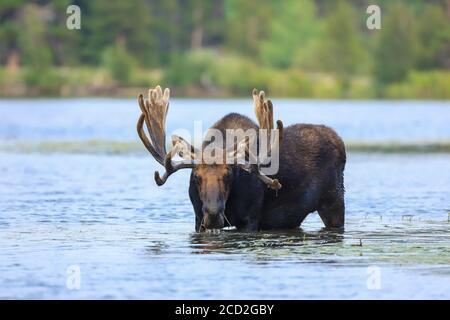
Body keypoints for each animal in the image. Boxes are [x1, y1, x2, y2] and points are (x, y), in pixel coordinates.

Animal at [136, 85, 344, 232]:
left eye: (228, 175)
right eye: (196, 177)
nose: (213, 215)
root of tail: (338, 139)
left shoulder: (250, 220)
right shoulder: (198, 219)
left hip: (334, 202)